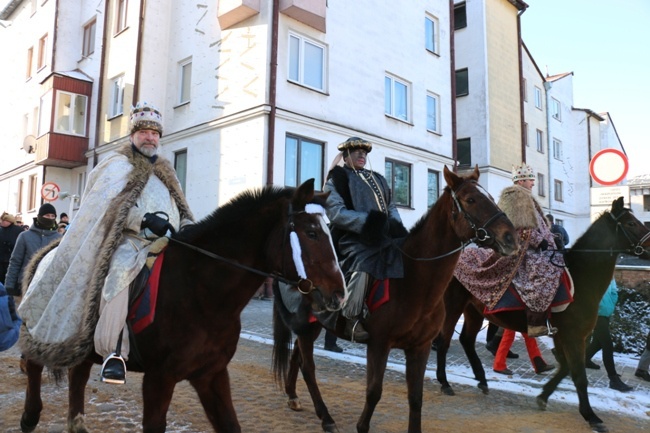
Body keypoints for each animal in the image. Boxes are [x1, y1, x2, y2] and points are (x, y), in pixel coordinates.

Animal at [19, 179, 344, 432]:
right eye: (312, 233)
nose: (338, 294)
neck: (201, 291)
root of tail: (48, 249)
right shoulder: (159, 379)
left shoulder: (211, 375)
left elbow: (230, 424)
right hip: (46, 327)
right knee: (34, 363)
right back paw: (30, 416)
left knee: (78, 375)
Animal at [268, 166, 516, 432]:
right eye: (470, 199)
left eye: (490, 197)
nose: (510, 237)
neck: (414, 279)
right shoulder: (379, 344)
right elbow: (374, 392)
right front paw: (362, 426)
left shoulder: (420, 347)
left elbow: (415, 398)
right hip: (307, 325)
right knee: (308, 367)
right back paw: (326, 418)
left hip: (313, 325)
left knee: (298, 358)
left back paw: (293, 396)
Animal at [432, 197, 648, 432]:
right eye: (631, 223)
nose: (649, 246)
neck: (581, 276)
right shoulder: (573, 336)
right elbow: (579, 375)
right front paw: (591, 416)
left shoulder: (564, 336)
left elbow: (566, 368)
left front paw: (544, 396)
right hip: (453, 306)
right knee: (444, 342)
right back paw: (444, 382)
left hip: (473, 310)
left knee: (466, 340)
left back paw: (481, 379)